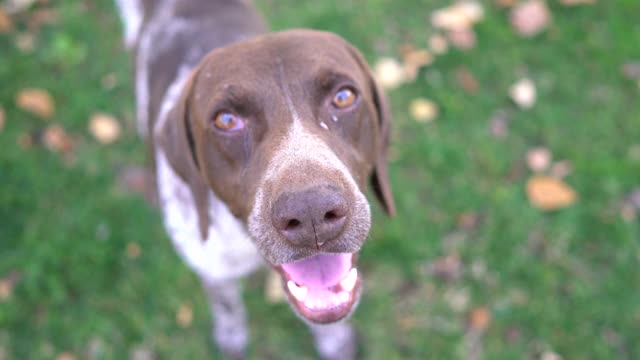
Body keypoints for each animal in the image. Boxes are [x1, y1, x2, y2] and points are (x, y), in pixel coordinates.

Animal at [115, 0, 396, 358]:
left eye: (344, 97)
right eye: (226, 120)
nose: (311, 213)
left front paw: (335, 342)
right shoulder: (213, 268)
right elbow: (226, 306)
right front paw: (232, 335)